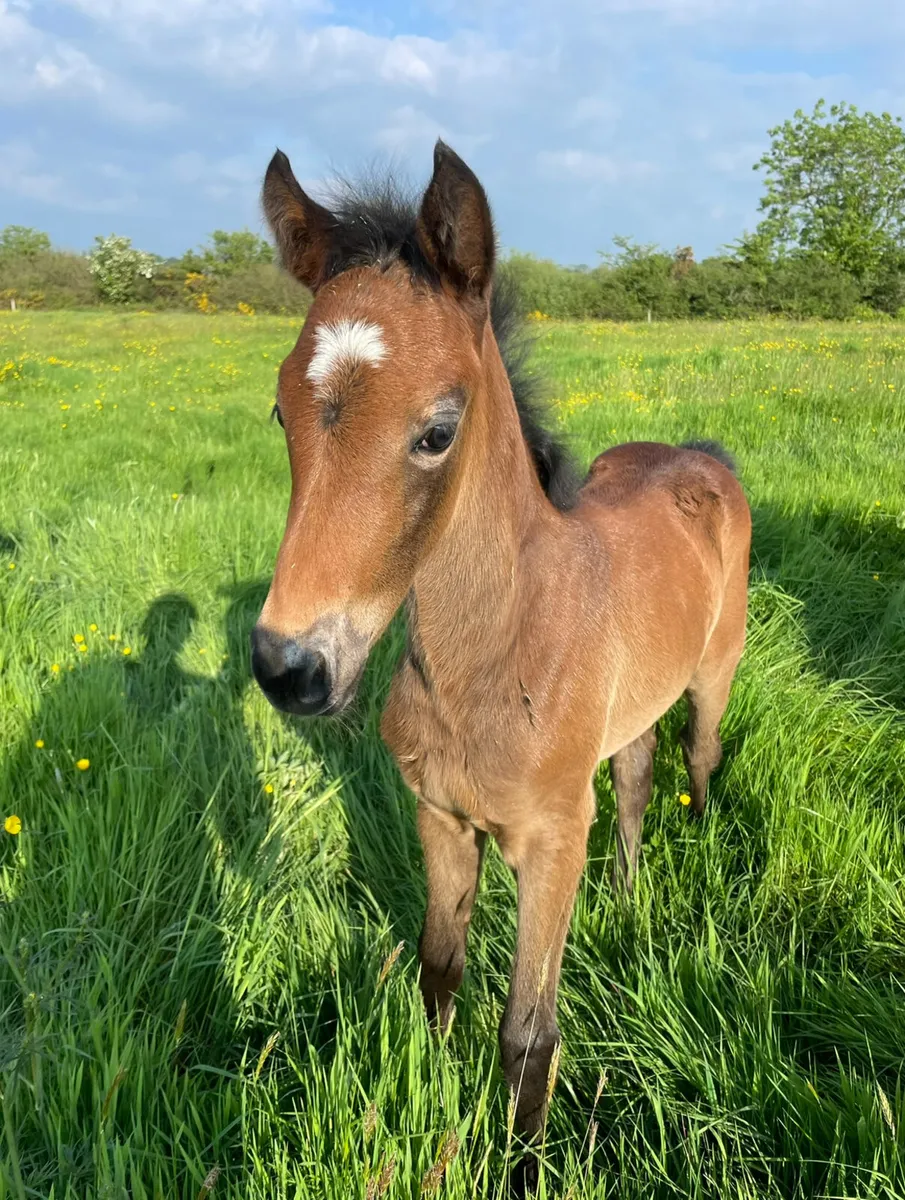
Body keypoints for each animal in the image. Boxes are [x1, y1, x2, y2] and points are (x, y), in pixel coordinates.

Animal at [250, 139, 752, 1180]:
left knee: (695, 759)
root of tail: (700, 454)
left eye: (438, 429)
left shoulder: (550, 840)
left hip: (714, 674)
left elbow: (528, 1031)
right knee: (634, 779)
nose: (290, 667)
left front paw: (524, 1165)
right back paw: (625, 899)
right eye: (281, 413)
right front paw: (433, 1097)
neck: (489, 659)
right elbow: (439, 967)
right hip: (631, 711)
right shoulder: (441, 817)